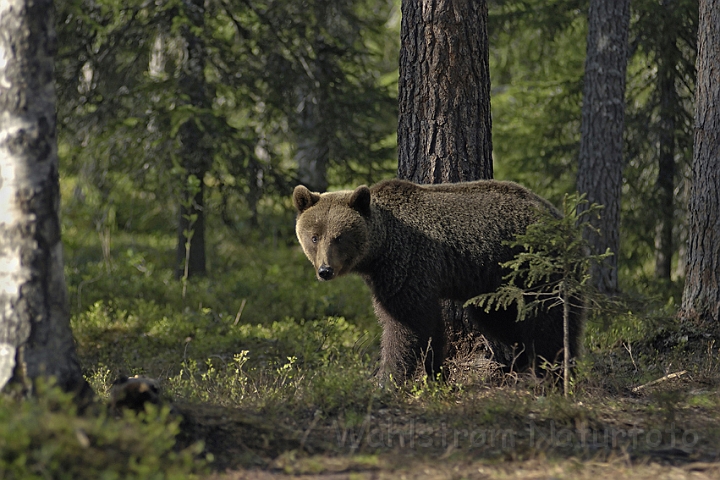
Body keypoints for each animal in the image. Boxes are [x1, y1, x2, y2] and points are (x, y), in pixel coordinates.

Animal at [292, 179, 580, 382]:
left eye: (339, 237)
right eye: (314, 236)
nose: (325, 270)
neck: (379, 251)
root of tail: (555, 213)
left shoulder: (407, 266)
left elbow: (407, 324)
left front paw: (388, 378)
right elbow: (431, 329)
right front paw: (435, 374)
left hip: (534, 267)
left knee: (549, 319)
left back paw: (554, 370)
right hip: (496, 286)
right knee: (502, 319)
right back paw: (522, 364)